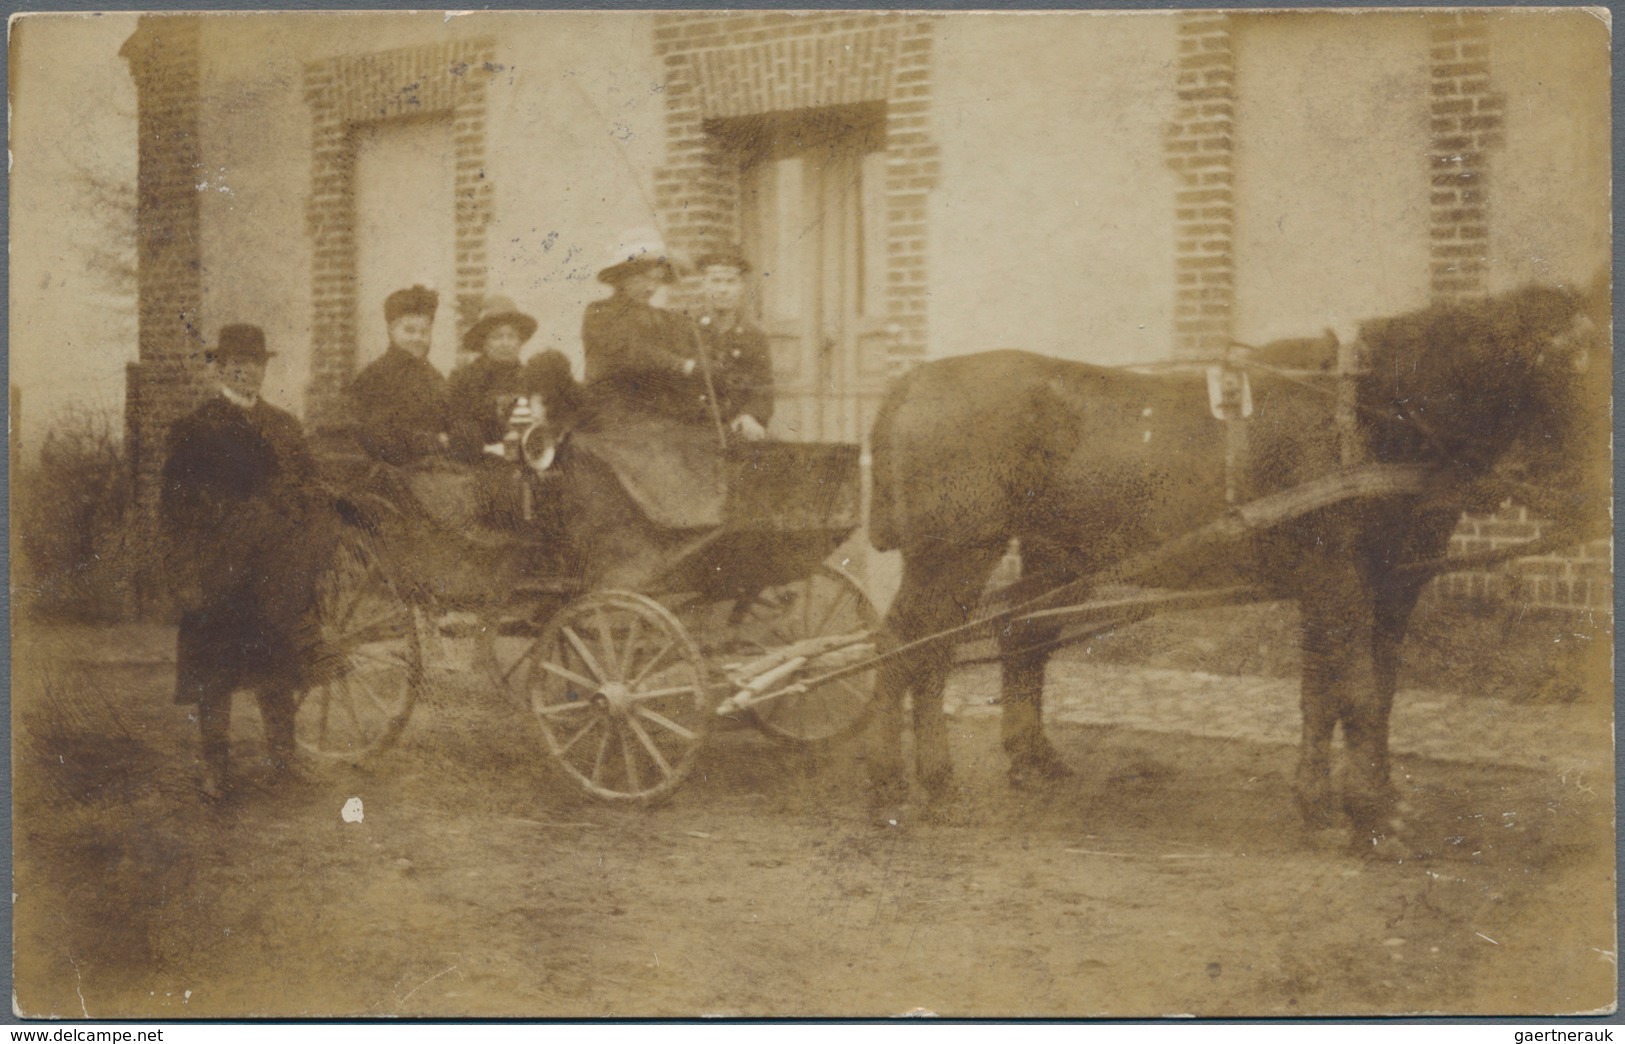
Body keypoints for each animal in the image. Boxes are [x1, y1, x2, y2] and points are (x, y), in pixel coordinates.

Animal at [871, 284, 1605, 845]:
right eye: (1572, 367)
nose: (1587, 499)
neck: (1367, 421)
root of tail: (915, 377)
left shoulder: (1378, 588)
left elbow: (1343, 695)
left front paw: (1329, 802)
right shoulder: (1339, 584)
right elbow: (1357, 694)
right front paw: (1368, 814)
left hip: (1051, 556)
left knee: (1015, 636)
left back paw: (1011, 763)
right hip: (954, 556)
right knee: (915, 648)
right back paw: (913, 780)